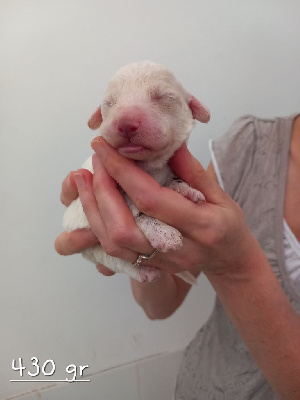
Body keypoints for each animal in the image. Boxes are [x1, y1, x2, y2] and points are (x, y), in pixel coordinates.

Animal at [62, 61, 210, 282]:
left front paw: (185, 189)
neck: (147, 167)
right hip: (93, 247)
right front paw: (164, 234)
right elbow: (136, 211)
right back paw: (145, 271)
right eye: (110, 103)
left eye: (163, 97)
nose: (126, 123)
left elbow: (172, 180)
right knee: (113, 259)